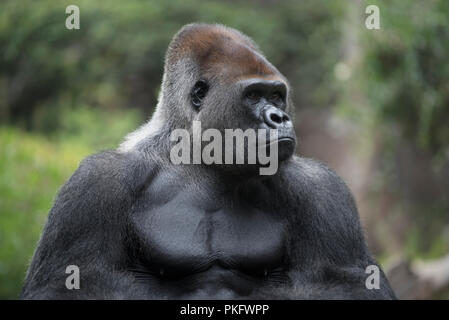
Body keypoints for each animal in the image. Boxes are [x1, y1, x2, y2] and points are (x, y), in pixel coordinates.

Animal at [21, 23, 394, 298]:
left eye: (277, 96)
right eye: (254, 95)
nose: (279, 118)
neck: (200, 161)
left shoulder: (321, 188)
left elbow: (354, 284)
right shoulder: (94, 182)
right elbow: (65, 286)